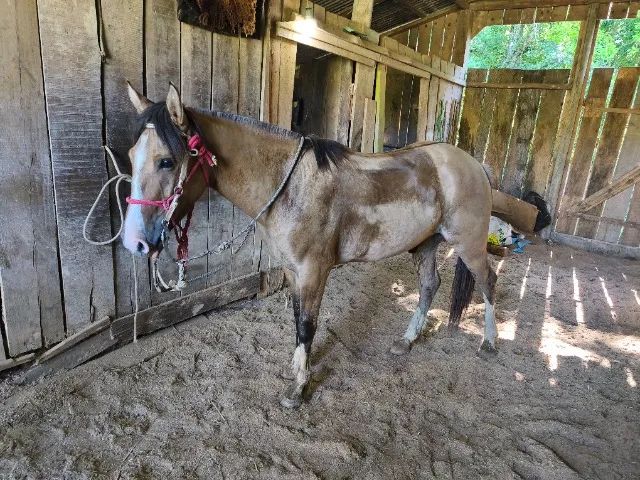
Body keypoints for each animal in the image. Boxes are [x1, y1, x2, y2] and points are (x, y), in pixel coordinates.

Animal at [122, 83, 498, 408]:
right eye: (130, 154)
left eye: (167, 160)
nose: (134, 241)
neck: (291, 188)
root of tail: (473, 164)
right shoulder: (292, 271)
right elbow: (296, 319)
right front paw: (297, 367)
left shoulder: (313, 271)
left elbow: (307, 325)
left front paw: (299, 388)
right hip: (425, 244)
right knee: (429, 285)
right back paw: (406, 341)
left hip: (469, 244)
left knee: (488, 281)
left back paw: (490, 344)